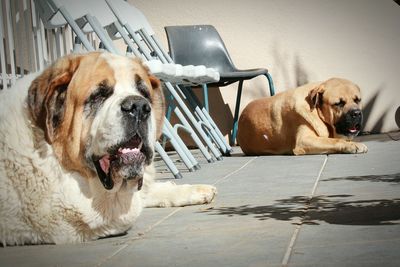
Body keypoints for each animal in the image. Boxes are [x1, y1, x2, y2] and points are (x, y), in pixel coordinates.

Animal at [238, 77, 368, 156]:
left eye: (358, 100)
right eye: (339, 103)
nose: (357, 113)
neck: (316, 109)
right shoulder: (303, 141)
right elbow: (333, 141)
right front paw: (353, 145)